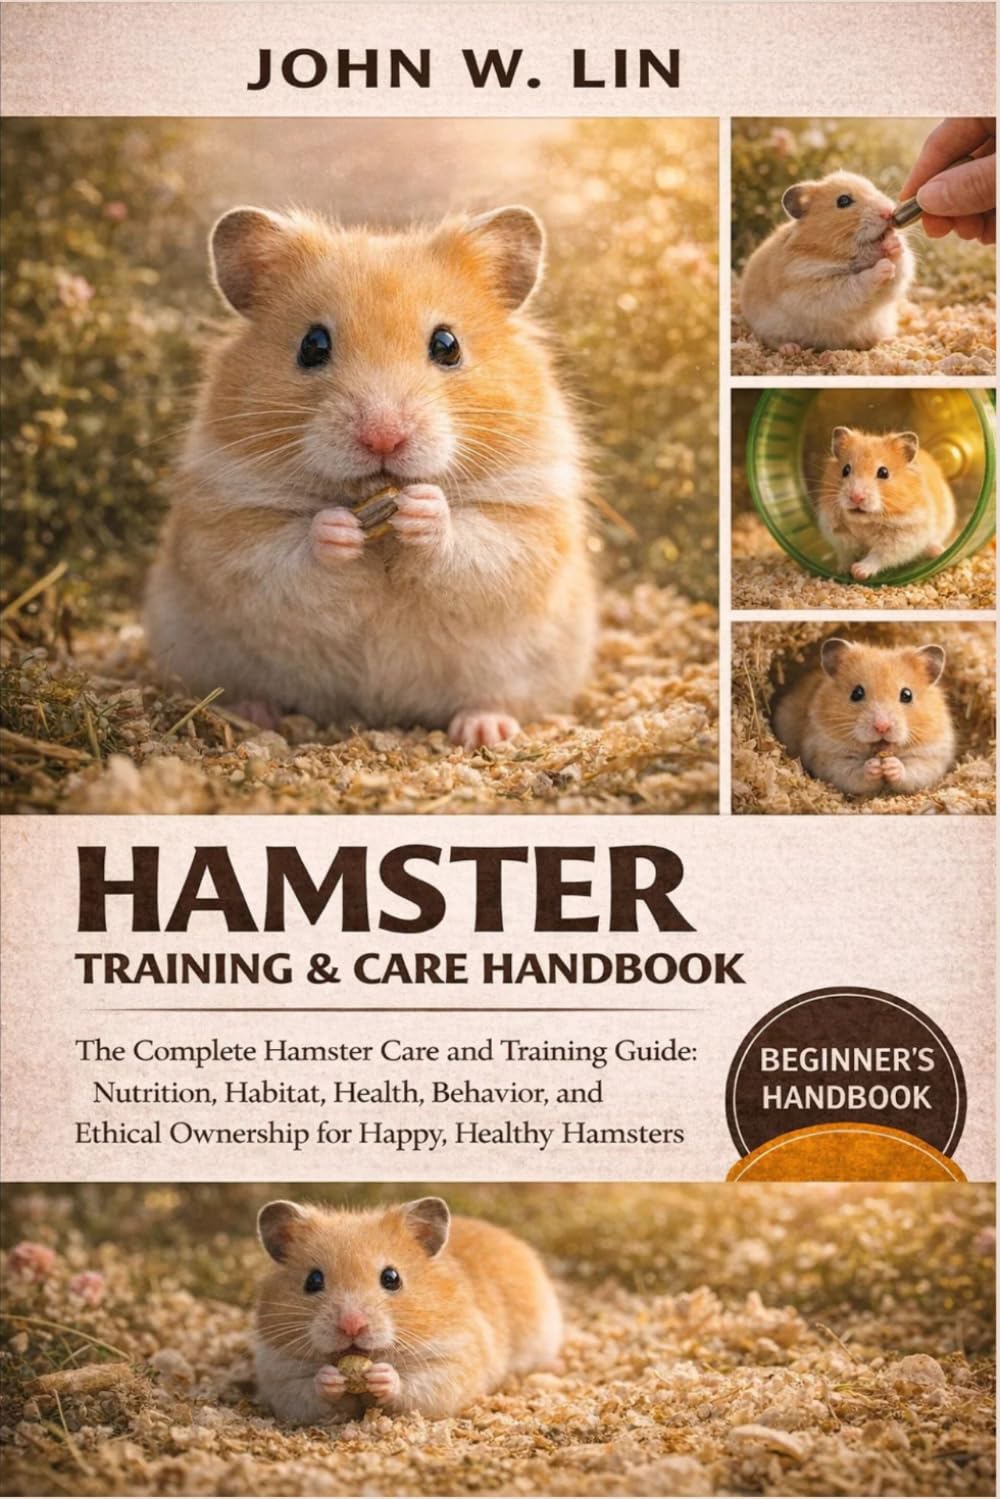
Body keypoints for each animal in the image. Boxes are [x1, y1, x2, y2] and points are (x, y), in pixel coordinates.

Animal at [144, 205, 596, 749]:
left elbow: (475, 541)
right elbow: (286, 550)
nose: (383, 438)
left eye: (447, 344)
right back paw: (253, 711)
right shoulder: (225, 527)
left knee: (499, 698)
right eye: (312, 344)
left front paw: (422, 511)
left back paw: (485, 729)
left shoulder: (528, 519)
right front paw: (338, 528)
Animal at [254, 1196, 563, 1424]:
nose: (352, 1326)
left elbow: (414, 1385)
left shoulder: (454, 1359)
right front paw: (330, 1378)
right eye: (313, 1280)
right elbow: (308, 1391)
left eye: (392, 1278)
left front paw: (383, 1376)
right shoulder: (278, 1373)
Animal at [739, 172, 915, 350]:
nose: (888, 212)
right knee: (771, 340)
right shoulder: (815, 287)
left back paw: (888, 341)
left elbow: (900, 269)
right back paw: (790, 348)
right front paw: (884, 266)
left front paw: (893, 244)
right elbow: (857, 283)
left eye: (873, 188)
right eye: (843, 201)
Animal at [772, 637, 955, 797]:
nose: (882, 726)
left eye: (907, 695)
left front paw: (891, 766)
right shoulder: (829, 756)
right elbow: (853, 773)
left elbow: (914, 770)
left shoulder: (931, 755)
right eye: (856, 693)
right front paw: (873, 767)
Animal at [816, 427, 956, 581]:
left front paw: (858, 571)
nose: (856, 497)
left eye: (884, 472)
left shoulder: (902, 538)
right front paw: (841, 571)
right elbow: (845, 554)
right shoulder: (837, 534)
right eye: (845, 470)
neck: (864, 523)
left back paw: (937, 551)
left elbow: (878, 556)